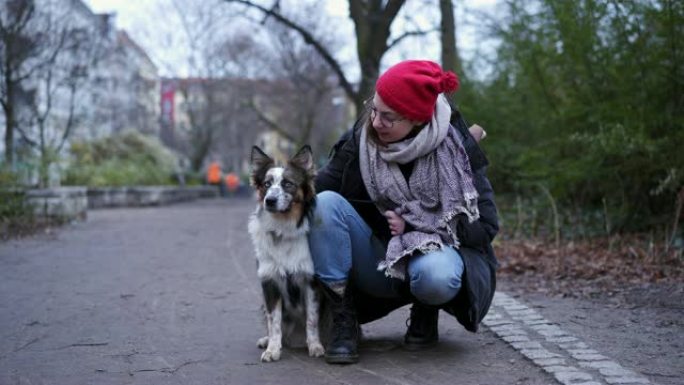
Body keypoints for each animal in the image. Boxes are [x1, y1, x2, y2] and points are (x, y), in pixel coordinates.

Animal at [247, 143, 324, 360]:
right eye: (266, 184)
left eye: (288, 184)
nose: (270, 200)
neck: (283, 228)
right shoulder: (270, 282)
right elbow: (274, 322)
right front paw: (272, 349)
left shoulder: (311, 281)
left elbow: (312, 319)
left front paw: (315, 346)